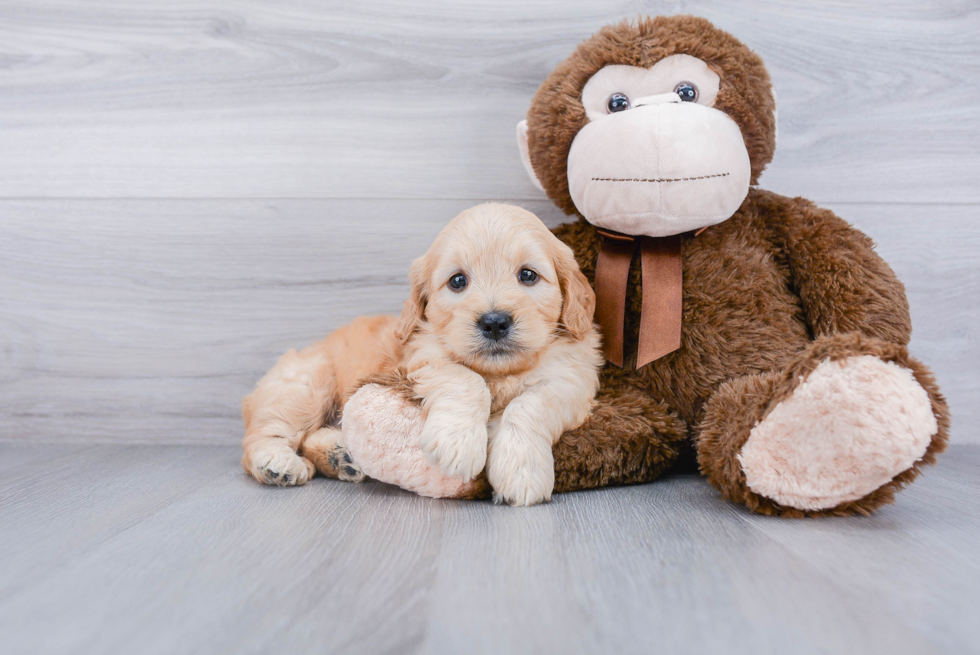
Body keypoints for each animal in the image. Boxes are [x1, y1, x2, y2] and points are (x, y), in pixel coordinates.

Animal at [241, 205, 600, 508]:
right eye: (458, 281)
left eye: (527, 275)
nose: (495, 322)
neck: (500, 372)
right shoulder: (420, 360)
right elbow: (464, 378)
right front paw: (457, 443)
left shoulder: (572, 379)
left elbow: (530, 405)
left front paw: (521, 470)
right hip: (305, 386)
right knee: (261, 437)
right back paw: (277, 462)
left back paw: (340, 455)